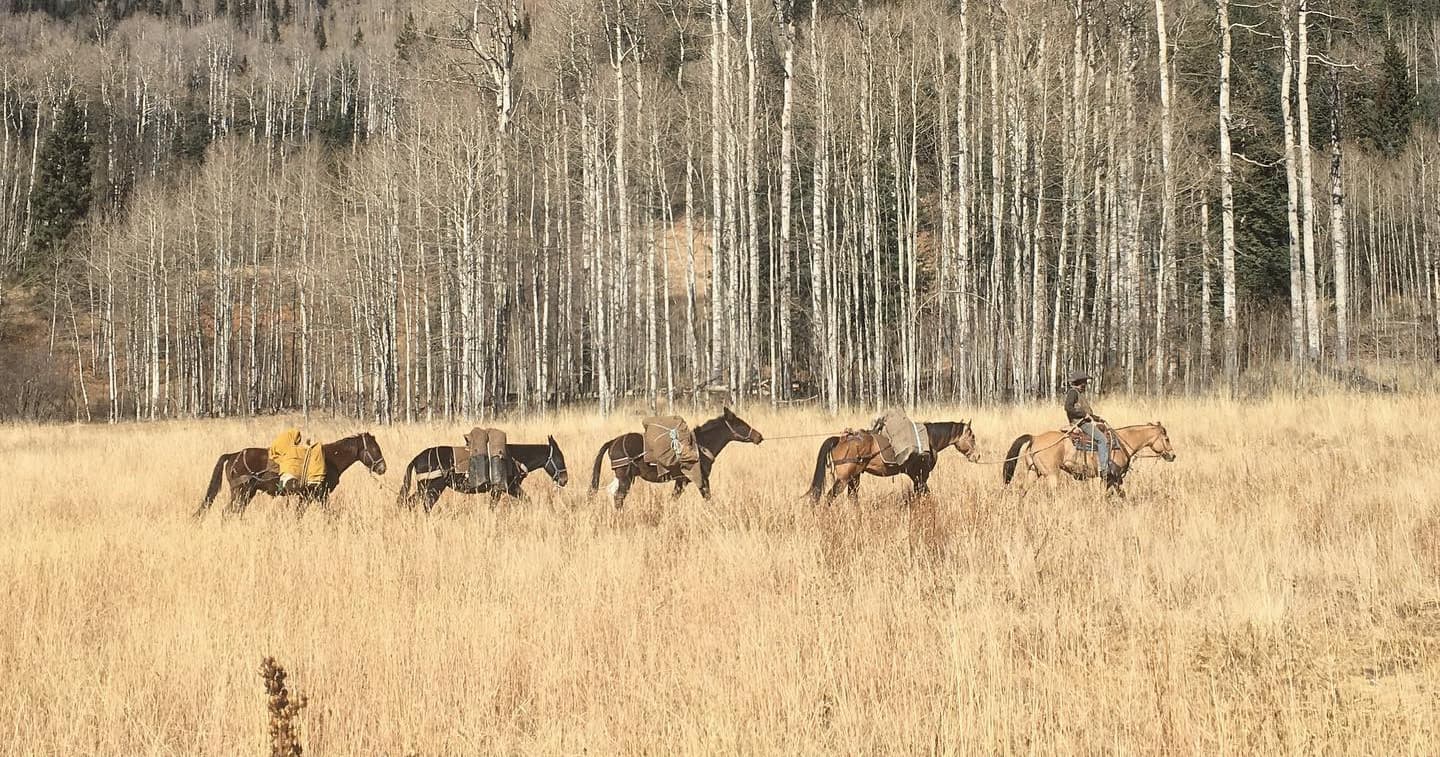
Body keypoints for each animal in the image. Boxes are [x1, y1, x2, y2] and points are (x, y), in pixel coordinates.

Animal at [195, 432, 388, 518]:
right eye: (374, 448)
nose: (382, 468)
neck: (329, 459)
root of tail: (233, 455)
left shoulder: (308, 496)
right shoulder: (319, 494)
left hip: (247, 493)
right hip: (240, 492)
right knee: (228, 513)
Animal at [397, 436, 569, 513]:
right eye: (559, 458)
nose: (564, 480)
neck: (513, 457)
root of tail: (418, 457)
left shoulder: (502, 490)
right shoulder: (507, 488)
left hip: (426, 488)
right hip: (433, 488)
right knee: (424, 505)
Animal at [589, 407, 763, 510]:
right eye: (741, 425)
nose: (759, 436)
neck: (699, 446)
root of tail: (614, 441)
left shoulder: (681, 481)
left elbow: (674, 499)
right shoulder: (697, 479)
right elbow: (707, 497)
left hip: (623, 477)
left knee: (612, 493)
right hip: (625, 477)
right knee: (618, 497)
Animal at [806, 420, 980, 505]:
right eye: (972, 436)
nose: (977, 456)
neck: (928, 439)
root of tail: (840, 439)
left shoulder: (916, 477)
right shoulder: (921, 476)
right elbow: (925, 494)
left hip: (854, 478)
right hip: (843, 479)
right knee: (830, 498)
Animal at [1001, 421, 1176, 497]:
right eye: (1167, 439)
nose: (1173, 455)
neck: (1123, 442)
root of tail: (1035, 438)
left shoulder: (1110, 479)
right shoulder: (1113, 477)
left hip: (1033, 472)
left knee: (1023, 491)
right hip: (1051, 475)